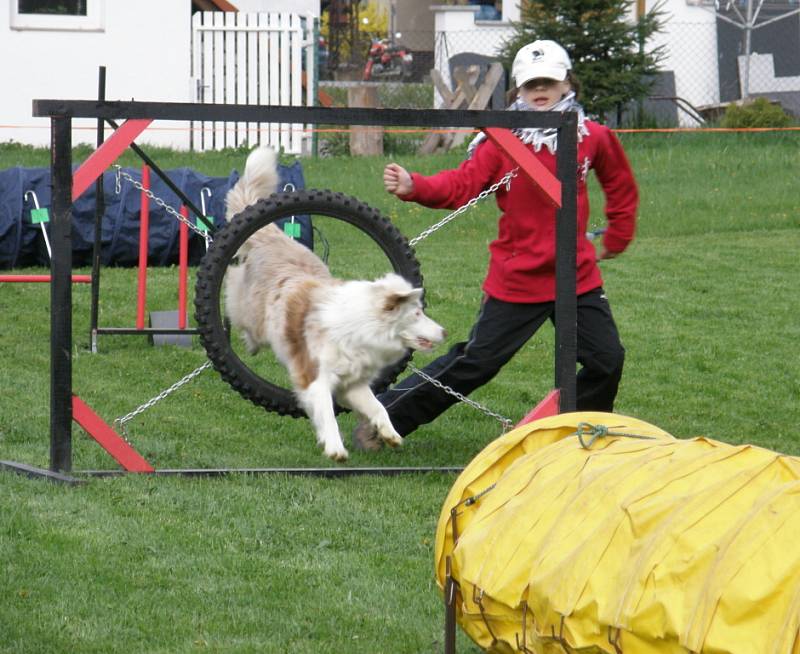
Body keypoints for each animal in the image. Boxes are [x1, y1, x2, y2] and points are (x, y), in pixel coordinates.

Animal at [225, 145, 446, 462]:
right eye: (416, 313)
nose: (445, 332)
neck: (360, 329)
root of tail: (275, 238)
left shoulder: (353, 384)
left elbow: (378, 406)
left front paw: (389, 434)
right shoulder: (315, 379)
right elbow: (327, 413)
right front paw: (335, 448)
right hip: (249, 307)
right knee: (242, 319)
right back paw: (251, 343)